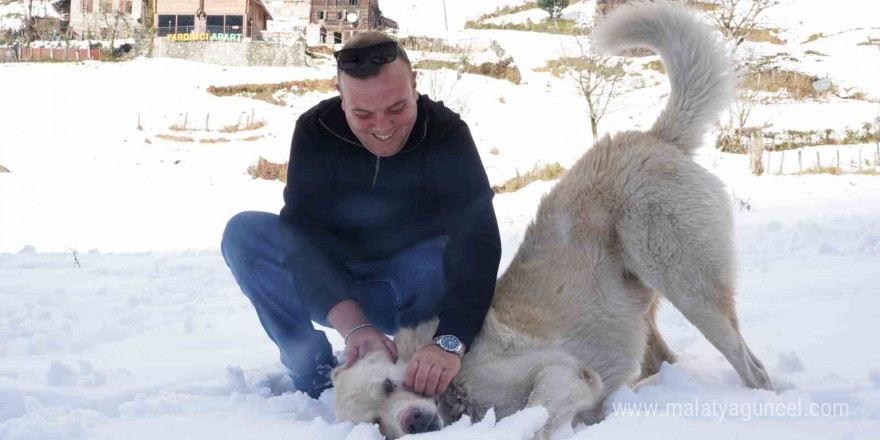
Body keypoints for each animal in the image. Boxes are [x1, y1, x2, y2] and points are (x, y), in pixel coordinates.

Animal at [330, 2, 768, 436]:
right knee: (661, 359)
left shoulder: (566, 373)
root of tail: (655, 138)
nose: (413, 421)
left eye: (389, 386)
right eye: (377, 425)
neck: (455, 388)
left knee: (751, 366)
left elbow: (535, 415)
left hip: (687, 284)